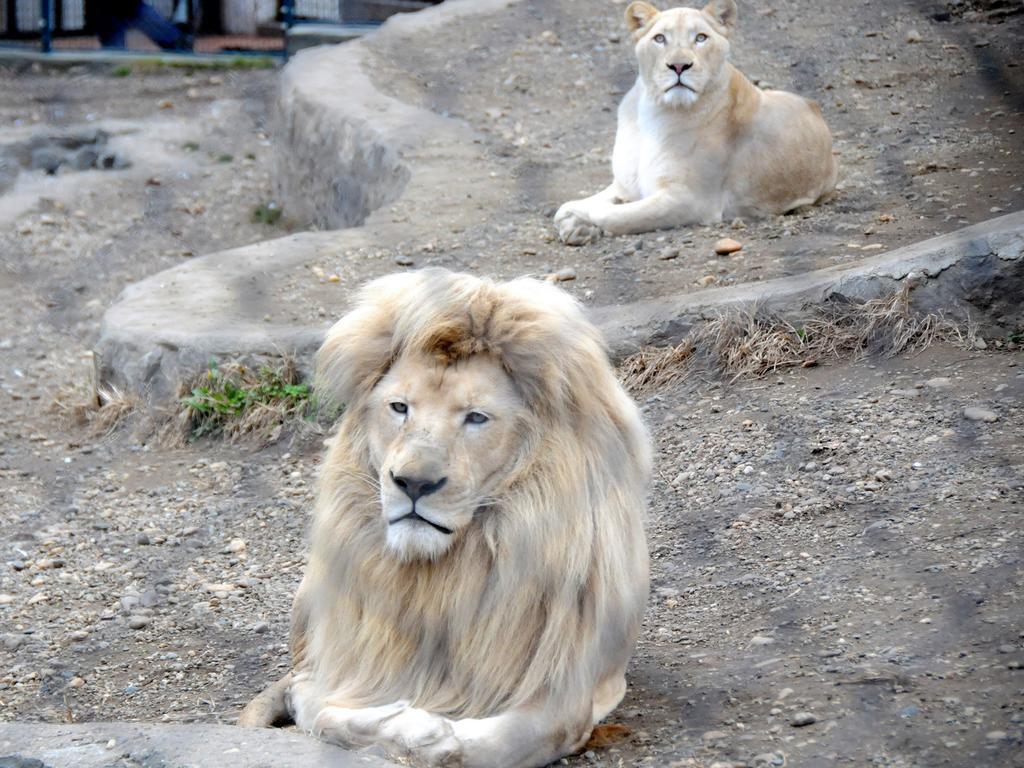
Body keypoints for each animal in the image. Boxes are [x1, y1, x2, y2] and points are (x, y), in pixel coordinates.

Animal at [241, 270, 647, 768]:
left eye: (476, 418)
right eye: (400, 408)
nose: (413, 483)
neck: (445, 577)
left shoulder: (574, 686)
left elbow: (511, 740)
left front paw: (427, 734)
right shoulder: (350, 667)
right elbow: (325, 704)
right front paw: (388, 723)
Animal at [557, 0, 835, 244]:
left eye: (701, 38)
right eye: (660, 38)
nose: (679, 66)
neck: (653, 109)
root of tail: (814, 106)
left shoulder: (691, 200)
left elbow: (614, 214)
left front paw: (576, 221)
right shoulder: (626, 186)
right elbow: (585, 201)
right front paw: (574, 220)